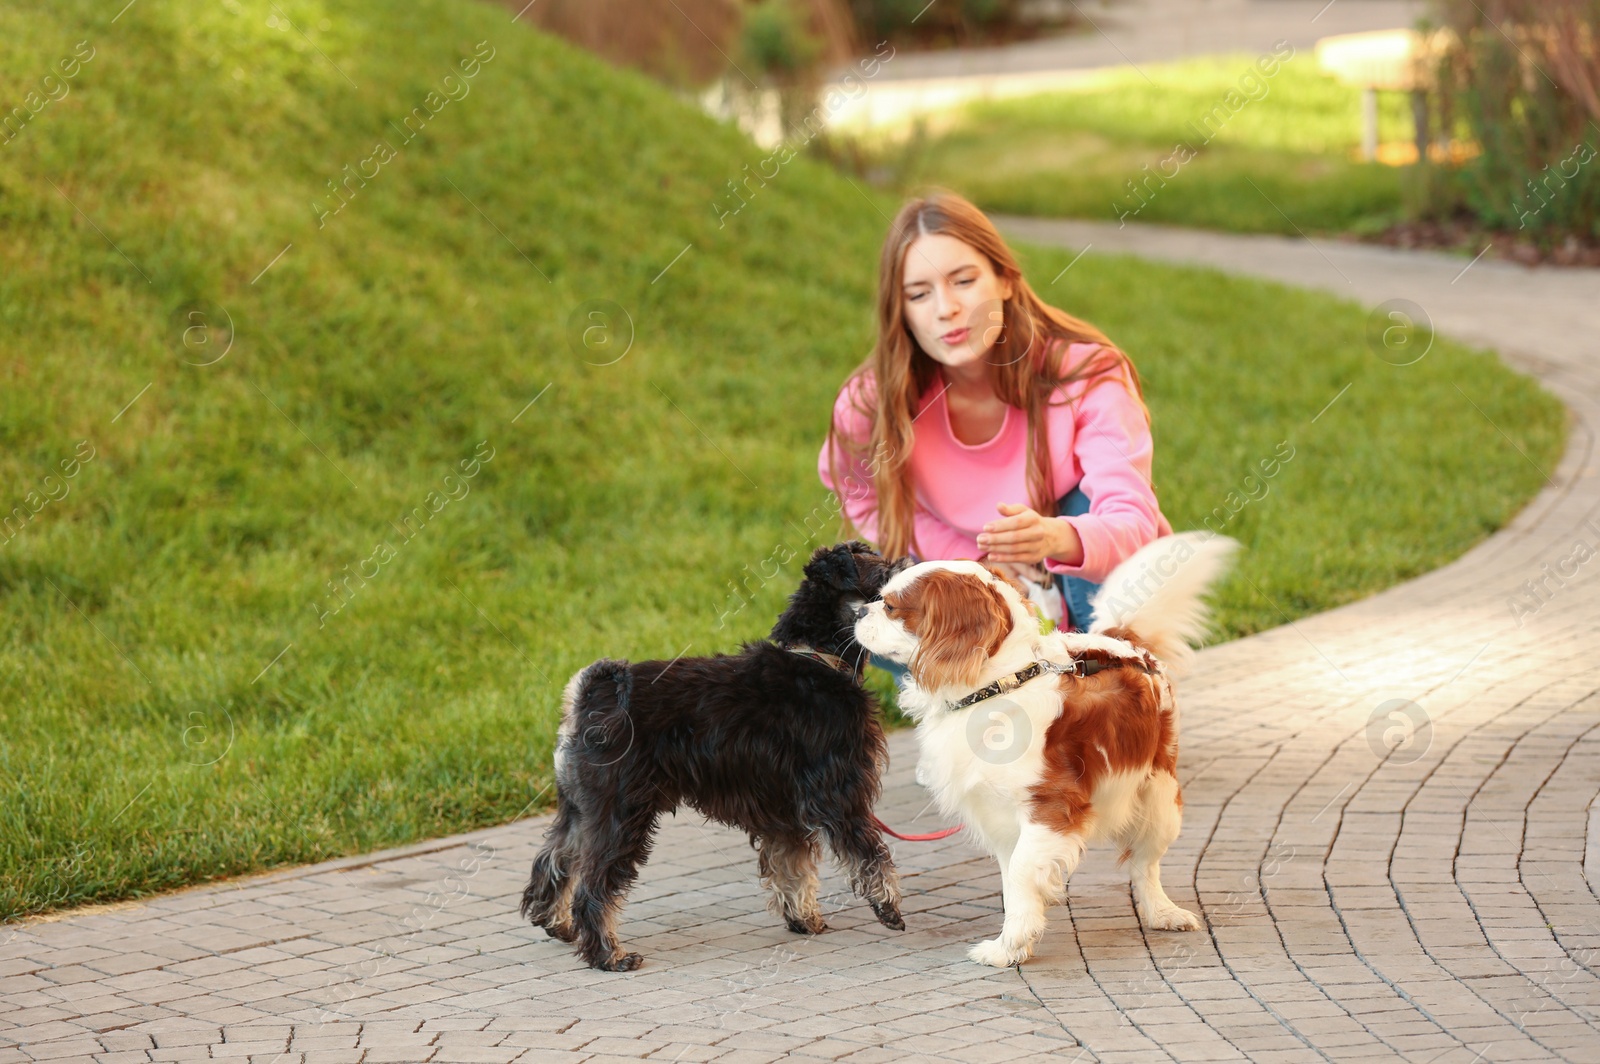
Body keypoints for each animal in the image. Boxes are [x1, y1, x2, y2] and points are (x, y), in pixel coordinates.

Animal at [518, 544, 908, 966]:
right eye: (881, 573)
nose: (911, 566)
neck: (816, 658)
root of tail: (588, 696)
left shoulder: (785, 813)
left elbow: (792, 868)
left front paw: (804, 918)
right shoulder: (839, 796)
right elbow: (869, 854)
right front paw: (888, 907)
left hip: (583, 810)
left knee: (554, 860)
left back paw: (555, 923)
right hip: (621, 815)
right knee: (593, 886)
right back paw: (609, 955)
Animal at [857, 531, 1228, 960]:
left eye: (890, 606)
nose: (858, 611)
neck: (997, 687)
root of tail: (1122, 641)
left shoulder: (1050, 808)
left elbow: (1020, 871)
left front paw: (1007, 944)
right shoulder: (999, 816)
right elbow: (1011, 877)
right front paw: (1017, 939)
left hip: (1159, 799)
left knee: (1145, 863)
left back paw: (1161, 912)